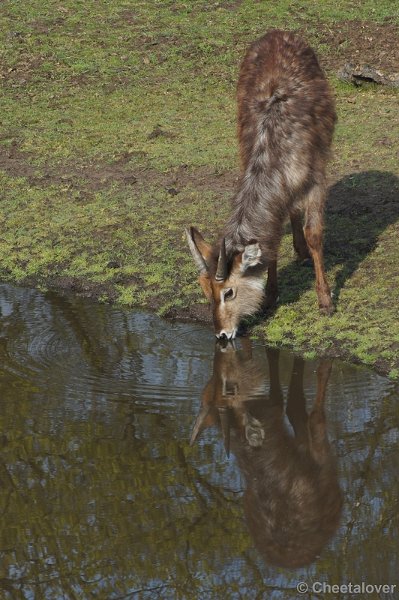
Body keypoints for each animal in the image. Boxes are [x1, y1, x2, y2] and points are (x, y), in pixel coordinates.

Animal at [186, 30, 336, 340]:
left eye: (228, 292)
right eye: (206, 291)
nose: (221, 334)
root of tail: (278, 32)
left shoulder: (316, 178)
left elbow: (315, 234)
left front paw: (325, 300)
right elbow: (273, 240)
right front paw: (270, 298)